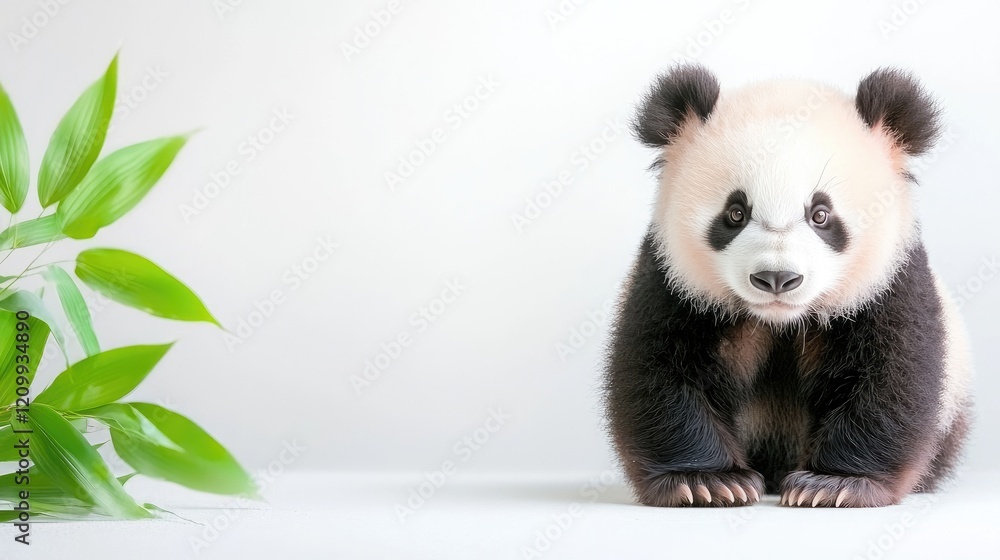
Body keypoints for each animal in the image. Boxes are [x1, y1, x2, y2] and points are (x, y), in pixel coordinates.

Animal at [604, 64, 972, 508]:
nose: (776, 278)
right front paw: (705, 481)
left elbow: (892, 377)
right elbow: (660, 371)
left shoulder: (889, 280)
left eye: (820, 214)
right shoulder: (673, 280)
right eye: (735, 213)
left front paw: (833, 484)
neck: (780, 320)